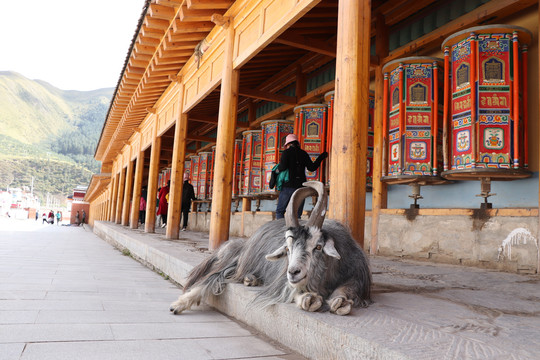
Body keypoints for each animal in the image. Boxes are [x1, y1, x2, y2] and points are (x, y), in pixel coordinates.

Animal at [170, 180, 372, 316]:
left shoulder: (357, 276)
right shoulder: (283, 283)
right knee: (214, 277)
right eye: (288, 249)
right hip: (240, 262)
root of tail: (246, 242)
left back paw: (251, 279)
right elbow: (295, 293)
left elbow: (348, 289)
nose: (293, 272)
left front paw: (341, 301)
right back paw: (178, 305)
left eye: (318, 247)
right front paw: (309, 299)